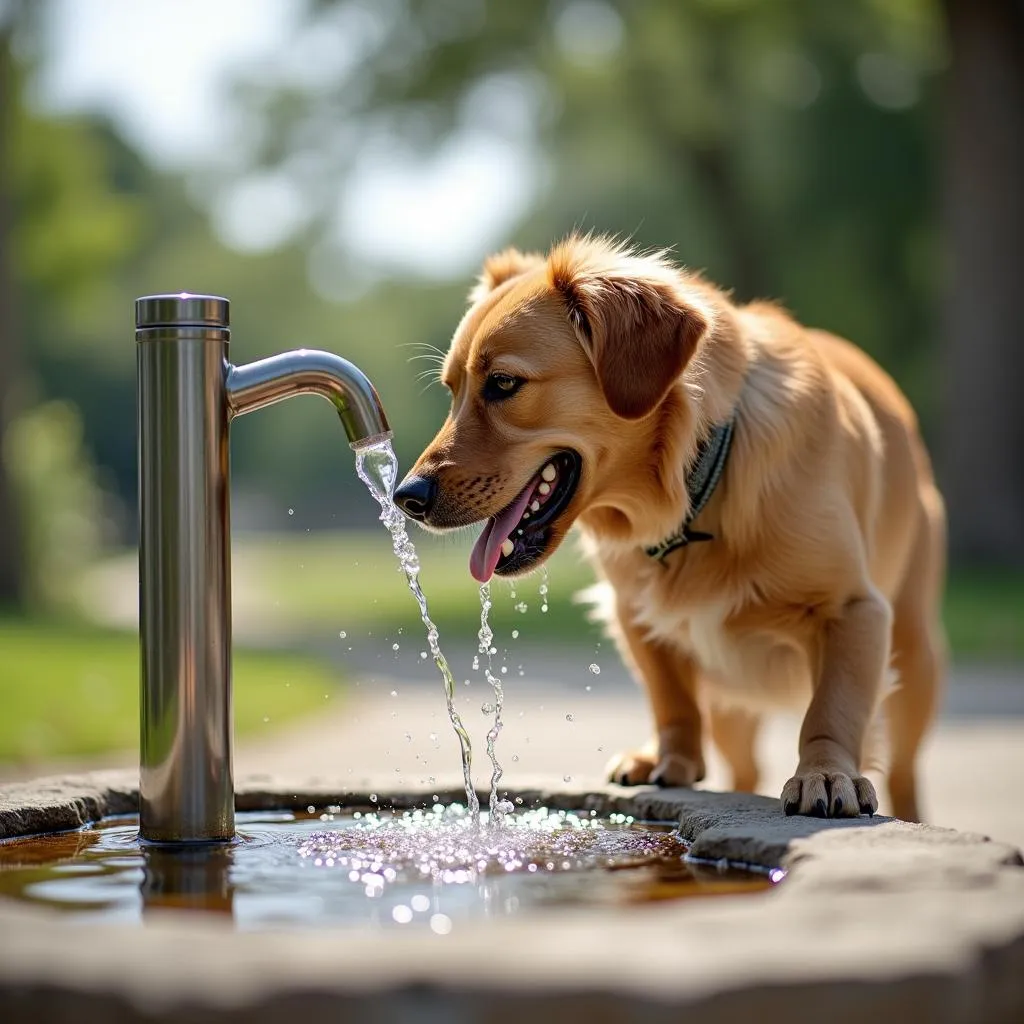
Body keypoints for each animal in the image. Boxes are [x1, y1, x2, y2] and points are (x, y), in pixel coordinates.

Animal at [395, 234, 946, 823]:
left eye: (503, 384)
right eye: (452, 390)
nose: (407, 497)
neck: (692, 491)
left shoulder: (855, 608)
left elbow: (831, 708)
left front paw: (825, 773)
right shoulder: (634, 613)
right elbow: (671, 698)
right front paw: (670, 760)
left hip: (915, 662)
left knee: (905, 770)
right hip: (733, 708)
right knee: (744, 768)